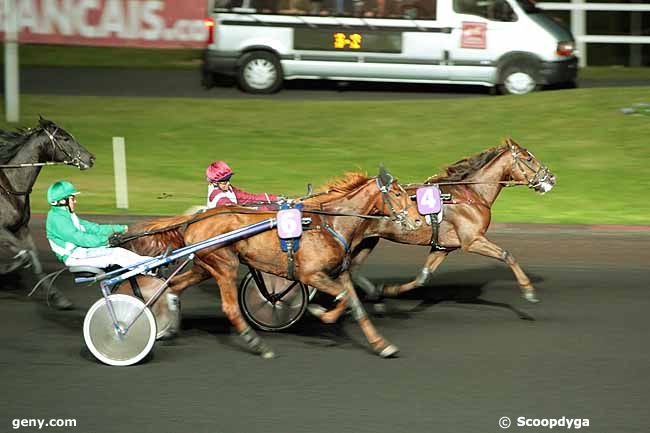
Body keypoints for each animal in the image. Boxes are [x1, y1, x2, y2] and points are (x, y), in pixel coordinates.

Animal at [0, 117, 95, 308]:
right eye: (65, 138)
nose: (90, 158)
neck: (10, 187)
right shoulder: (2, 230)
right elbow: (24, 256)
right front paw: (5, 269)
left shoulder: (22, 229)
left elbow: (33, 258)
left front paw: (58, 297)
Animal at [124, 168, 422, 358]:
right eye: (397, 194)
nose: (418, 219)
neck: (329, 223)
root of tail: (194, 219)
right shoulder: (312, 275)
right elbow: (342, 299)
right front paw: (319, 312)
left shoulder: (340, 272)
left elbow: (355, 305)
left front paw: (381, 345)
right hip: (224, 265)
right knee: (230, 308)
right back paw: (257, 345)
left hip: (204, 267)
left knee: (173, 286)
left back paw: (170, 328)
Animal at [316, 137, 556, 322]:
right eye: (528, 158)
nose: (551, 178)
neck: (471, 195)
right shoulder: (472, 241)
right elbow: (507, 255)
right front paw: (528, 290)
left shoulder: (444, 247)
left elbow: (423, 277)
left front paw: (389, 290)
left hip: (368, 240)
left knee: (354, 269)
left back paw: (372, 297)